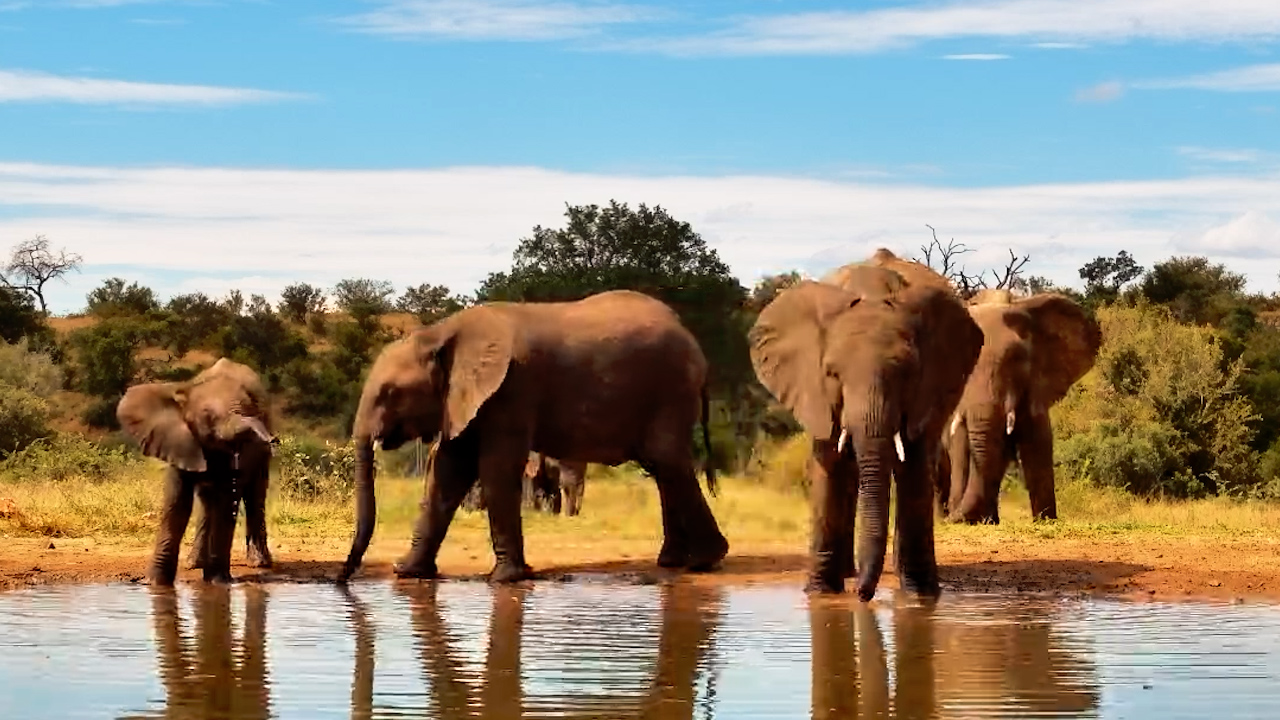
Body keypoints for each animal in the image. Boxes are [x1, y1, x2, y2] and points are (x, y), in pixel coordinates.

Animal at [116, 357, 277, 586]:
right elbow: (177, 505)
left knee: (255, 496)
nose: (273, 440)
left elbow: (226, 502)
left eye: (250, 409)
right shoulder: (178, 441)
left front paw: (218, 582)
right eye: (208, 416)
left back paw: (259, 563)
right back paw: (194, 563)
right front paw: (156, 584)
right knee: (207, 502)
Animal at [338, 289, 727, 584]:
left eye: (390, 393)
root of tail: (693, 339)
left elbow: (495, 467)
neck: (440, 333)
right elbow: (448, 469)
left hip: (670, 390)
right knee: (662, 468)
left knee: (667, 461)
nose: (343, 578)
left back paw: (704, 562)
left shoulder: (511, 390)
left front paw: (504, 579)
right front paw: (408, 572)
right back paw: (672, 562)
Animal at [749, 249, 984, 598]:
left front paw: (919, 596)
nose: (863, 594)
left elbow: (914, 467)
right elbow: (829, 464)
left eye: (907, 373)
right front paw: (820, 594)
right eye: (832, 373)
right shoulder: (815, 392)